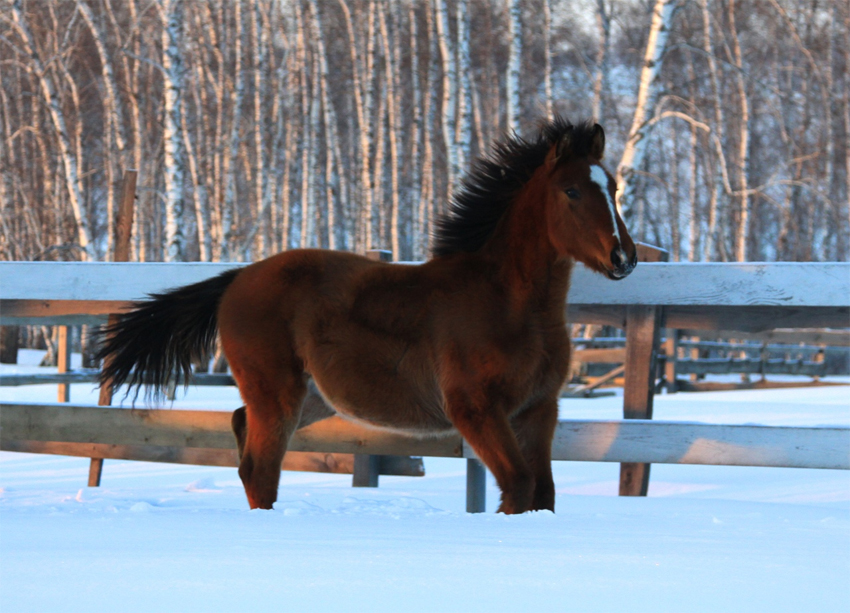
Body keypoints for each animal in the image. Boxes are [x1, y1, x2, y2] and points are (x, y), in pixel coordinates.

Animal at [96, 117, 632, 512]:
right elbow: (518, 486)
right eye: (571, 192)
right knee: (260, 467)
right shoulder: (476, 408)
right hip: (278, 391)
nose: (624, 258)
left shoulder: (539, 409)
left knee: (243, 435)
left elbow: (543, 492)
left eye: (614, 188)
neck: (508, 303)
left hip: (313, 397)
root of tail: (237, 278)